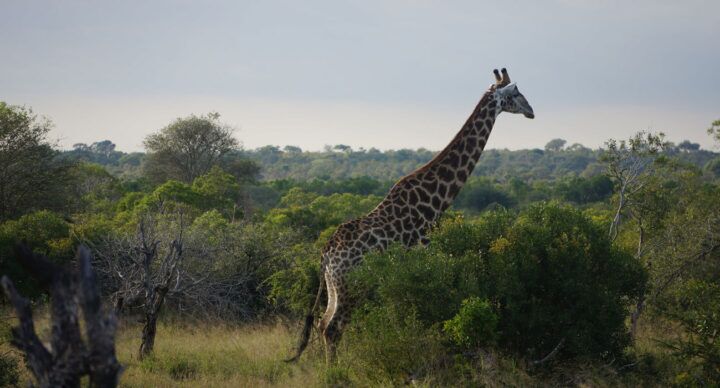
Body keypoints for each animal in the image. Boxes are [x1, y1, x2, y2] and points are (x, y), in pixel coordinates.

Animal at [288, 68, 536, 362]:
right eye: (516, 93)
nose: (532, 111)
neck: (433, 204)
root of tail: (326, 254)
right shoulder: (425, 255)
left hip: (333, 286)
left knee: (323, 323)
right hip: (352, 286)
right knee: (333, 328)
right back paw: (335, 371)